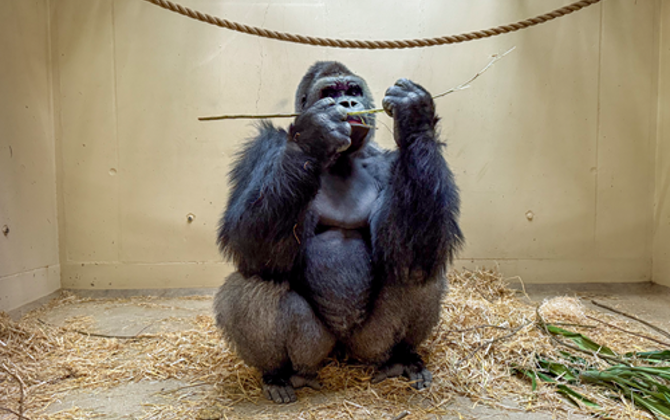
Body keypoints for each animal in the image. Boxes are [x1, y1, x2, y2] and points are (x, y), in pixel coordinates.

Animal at [214, 61, 463, 403]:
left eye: (353, 90)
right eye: (330, 92)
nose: (347, 103)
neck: (345, 157)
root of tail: (341, 356)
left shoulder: (388, 164)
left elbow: (406, 251)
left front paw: (414, 116)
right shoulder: (264, 146)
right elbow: (250, 242)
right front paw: (315, 135)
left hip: (366, 346)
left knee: (415, 274)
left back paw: (401, 357)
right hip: (317, 351)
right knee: (257, 282)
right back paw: (278, 374)